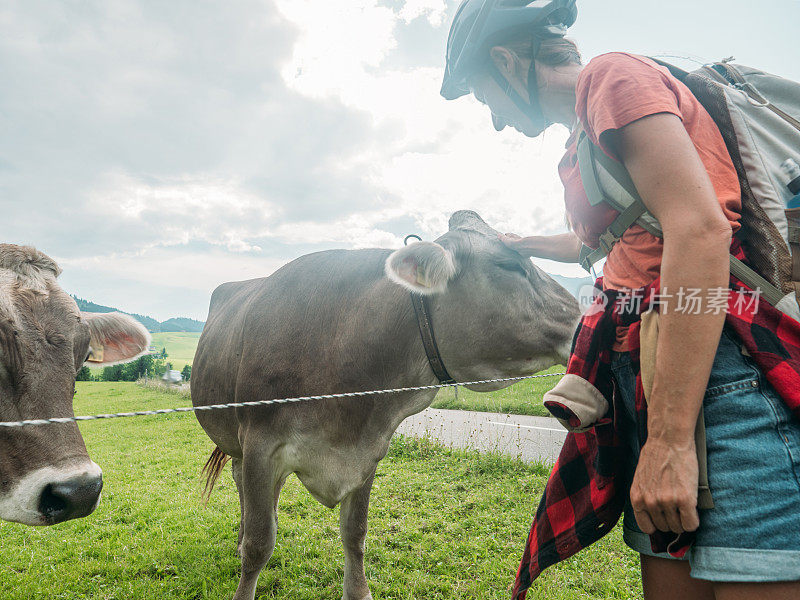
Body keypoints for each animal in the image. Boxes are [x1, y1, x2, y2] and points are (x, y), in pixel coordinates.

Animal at [194, 212, 580, 600]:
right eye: (508, 265)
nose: (581, 315)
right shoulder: (261, 446)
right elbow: (259, 544)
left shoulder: (367, 452)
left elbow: (355, 534)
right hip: (239, 442)